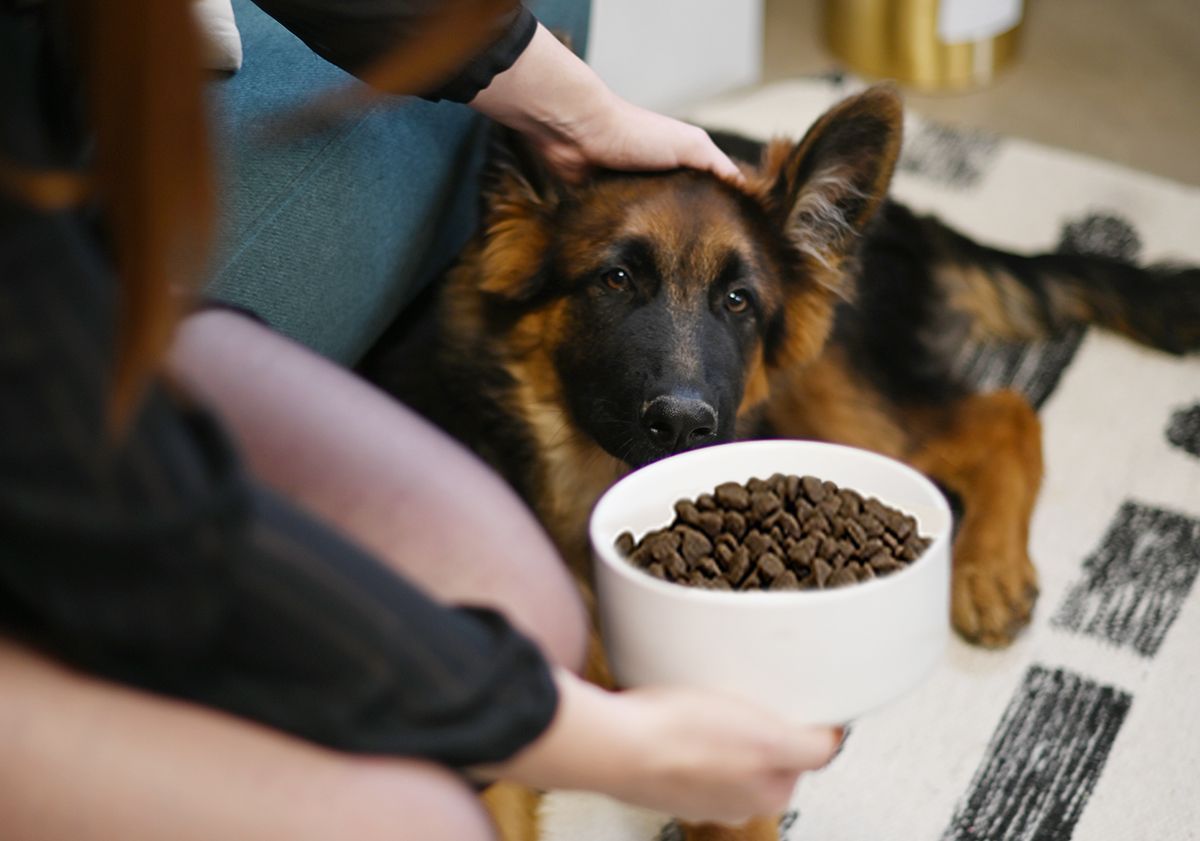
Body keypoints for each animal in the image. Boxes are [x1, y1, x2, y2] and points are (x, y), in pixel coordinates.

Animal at [362, 86, 1200, 839]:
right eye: (615, 279)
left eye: (739, 300)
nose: (685, 425)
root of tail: (901, 216)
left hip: (829, 397)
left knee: (1004, 414)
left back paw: (989, 568)